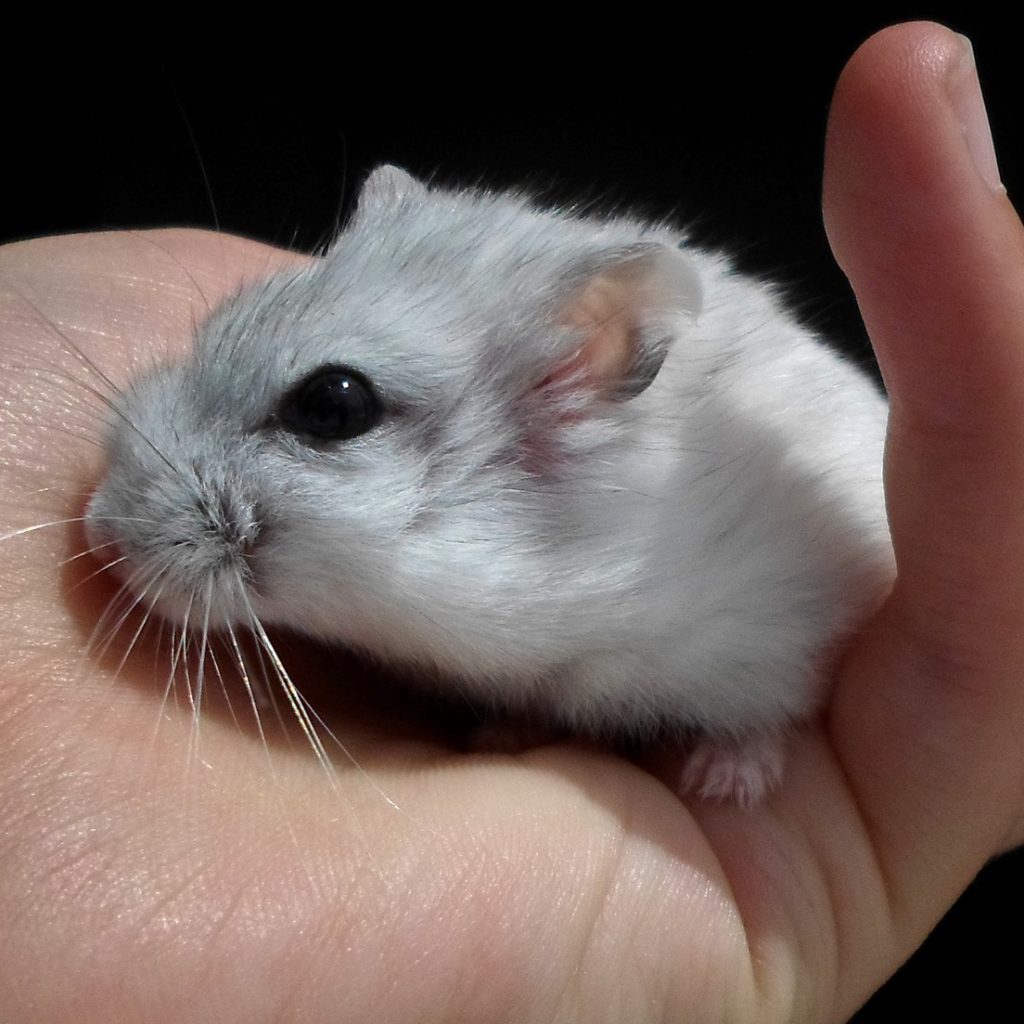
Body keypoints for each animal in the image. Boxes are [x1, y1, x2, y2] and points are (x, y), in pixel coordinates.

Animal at [84, 164, 894, 806]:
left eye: (334, 405)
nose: (98, 533)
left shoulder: (777, 631)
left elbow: (766, 714)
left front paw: (724, 783)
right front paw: (503, 732)